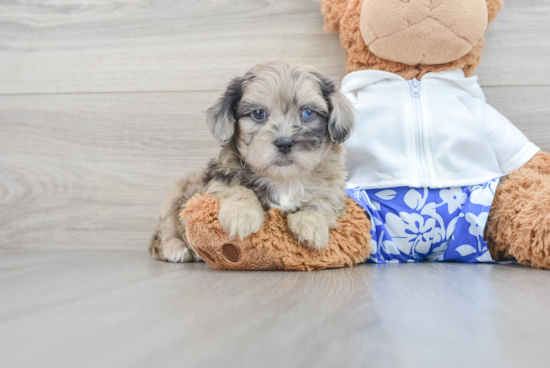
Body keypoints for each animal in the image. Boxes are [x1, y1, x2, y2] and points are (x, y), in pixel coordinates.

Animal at [149, 60, 356, 262]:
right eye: (258, 113)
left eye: (308, 113)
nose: (284, 143)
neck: (284, 179)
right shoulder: (218, 180)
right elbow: (237, 189)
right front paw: (242, 215)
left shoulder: (333, 188)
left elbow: (322, 200)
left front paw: (312, 223)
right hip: (174, 198)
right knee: (163, 236)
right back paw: (176, 249)